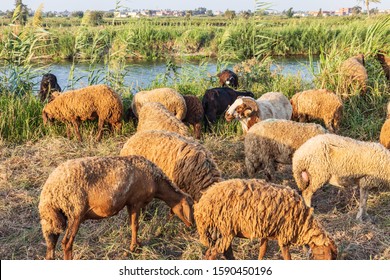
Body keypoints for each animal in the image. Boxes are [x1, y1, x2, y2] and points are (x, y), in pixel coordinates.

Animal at [38, 154, 194, 260]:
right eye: (190, 207)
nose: (191, 226)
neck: (157, 183)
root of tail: (49, 191)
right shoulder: (135, 202)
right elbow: (135, 225)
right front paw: (133, 248)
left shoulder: (131, 203)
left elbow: (133, 225)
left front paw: (136, 245)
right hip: (75, 212)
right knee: (67, 243)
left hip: (53, 219)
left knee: (51, 247)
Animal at [195, 179, 338, 260]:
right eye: (327, 253)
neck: (303, 223)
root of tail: (201, 203)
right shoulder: (284, 235)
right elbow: (287, 257)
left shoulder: (266, 232)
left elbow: (262, 251)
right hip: (223, 229)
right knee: (212, 254)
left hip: (223, 232)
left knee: (225, 252)